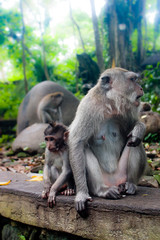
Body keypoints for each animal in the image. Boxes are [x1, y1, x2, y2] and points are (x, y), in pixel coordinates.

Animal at [68, 67, 147, 214]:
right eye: (132, 79)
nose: (141, 88)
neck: (109, 103)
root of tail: (113, 182)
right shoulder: (88, 107)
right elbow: (77, 142)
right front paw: (81, 194)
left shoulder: (126, 110)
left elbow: (134, 126)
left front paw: (139, 129)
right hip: (101, 180)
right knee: (84, 149)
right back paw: (102, 190)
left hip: (122, 174)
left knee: (135, 143)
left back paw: (130, 184)